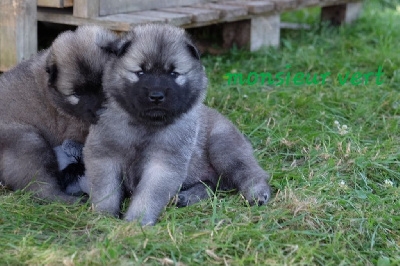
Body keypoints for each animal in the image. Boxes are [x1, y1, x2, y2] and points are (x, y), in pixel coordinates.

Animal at [84, 24, 272, 224]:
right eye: (140, 72)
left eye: (174, 74)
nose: (156, 96)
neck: (145, 124)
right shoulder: (104, 156)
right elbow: (106, 191)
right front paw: (103, 217)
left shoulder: (162, 163)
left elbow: (148, 195)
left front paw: (136, 222)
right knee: (211, 185)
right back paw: (186, 197)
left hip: (223, 148)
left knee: (250, 173)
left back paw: (257, 194)